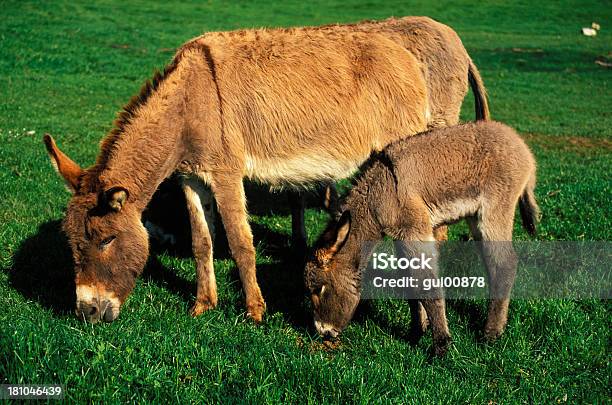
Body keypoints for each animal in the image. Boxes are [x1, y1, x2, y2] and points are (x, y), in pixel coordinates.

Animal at [304, 120, 536, 354]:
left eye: (318, 289)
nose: (324, 333)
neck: (379, 194)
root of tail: (519, 142)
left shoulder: (414, 228)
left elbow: (425, 283)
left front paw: (441, 345)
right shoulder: (401, 235)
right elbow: (409, 280)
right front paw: (417, 331)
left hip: (494, 210)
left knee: (504, 263)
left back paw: (491, 333)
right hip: (475, 217)